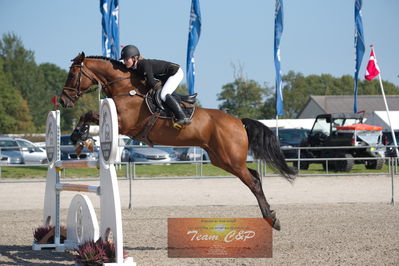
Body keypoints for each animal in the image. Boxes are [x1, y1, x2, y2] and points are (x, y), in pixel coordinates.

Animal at [59, 52, 296, 231]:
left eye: (73, 74)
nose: (63, 100)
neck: (126, 88)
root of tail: (238, 121)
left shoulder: (125, 123)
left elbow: (90, 114)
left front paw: (80, 136)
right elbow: (88, 115)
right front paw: (79, 137)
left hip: (231, 159)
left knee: (253, 182)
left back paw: (272, 220)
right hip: (222, 159)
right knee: (254, 176)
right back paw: (270, 216)